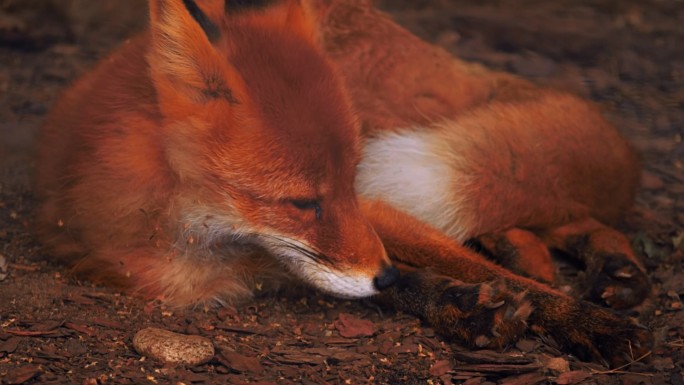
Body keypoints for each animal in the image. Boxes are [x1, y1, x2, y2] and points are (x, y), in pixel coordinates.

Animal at [36, 0, 652, 366]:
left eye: (343, 186)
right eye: (301, 202)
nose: (383, 272)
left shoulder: (371, 205)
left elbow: (461, 268)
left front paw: (584, 322)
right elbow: (402, 282)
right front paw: (464, 308)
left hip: (397, 142)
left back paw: (609, 270)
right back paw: (556, 258)